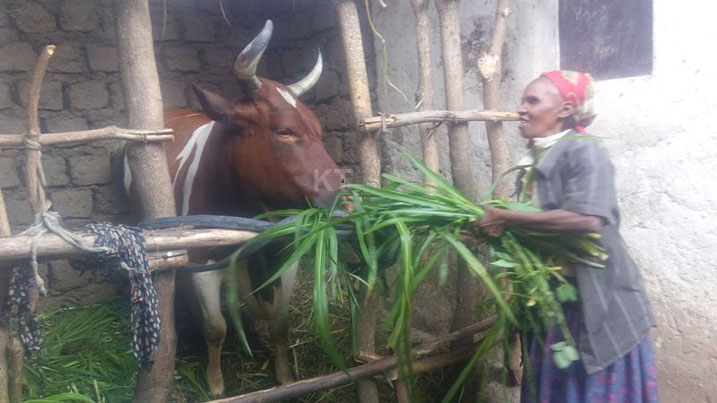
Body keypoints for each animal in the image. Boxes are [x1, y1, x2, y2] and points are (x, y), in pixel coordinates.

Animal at [125, 20, 344, 396]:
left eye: (318, 129)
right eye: (284, 131)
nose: (339, 196)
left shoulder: (285, 250)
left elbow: (280, 322)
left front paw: (285, 376)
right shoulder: (202, 259)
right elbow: (215, 327)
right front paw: (215, 385)